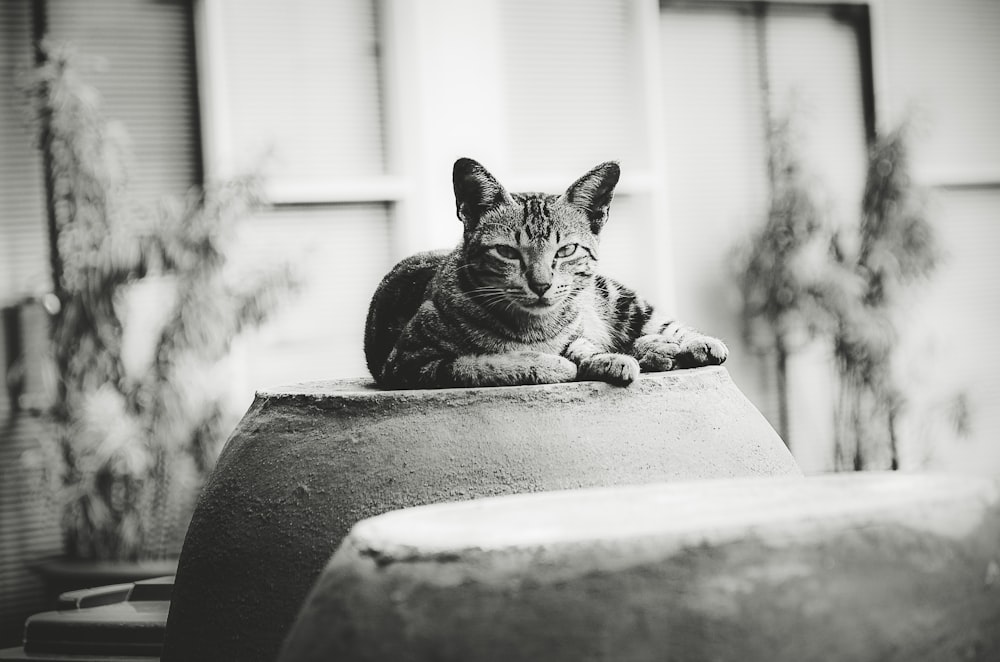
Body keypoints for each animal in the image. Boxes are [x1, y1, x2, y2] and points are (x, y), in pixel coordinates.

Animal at [364, 159, 724, 392]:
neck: (534, 328)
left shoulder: (580, 329)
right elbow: (483, 364)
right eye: (507, 252)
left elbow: (583, 346)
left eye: (566, 251)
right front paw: (552, 364)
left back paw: (685, 343)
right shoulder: (409, 363)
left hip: (616, 298)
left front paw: (604, 357)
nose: (541, 284)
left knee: (655, 324)